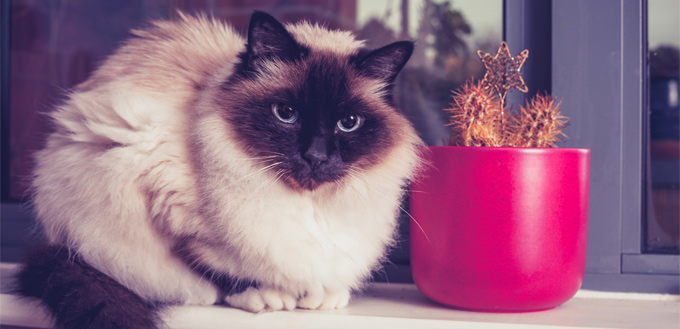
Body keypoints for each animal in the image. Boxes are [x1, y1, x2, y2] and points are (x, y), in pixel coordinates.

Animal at [15, 10, 422, 328]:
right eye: (285, 114)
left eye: (348, 123)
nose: (316, 156)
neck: (307, 205)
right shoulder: (160, 199)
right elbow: (217, 268)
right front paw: (268, 296)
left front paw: (321, 296)